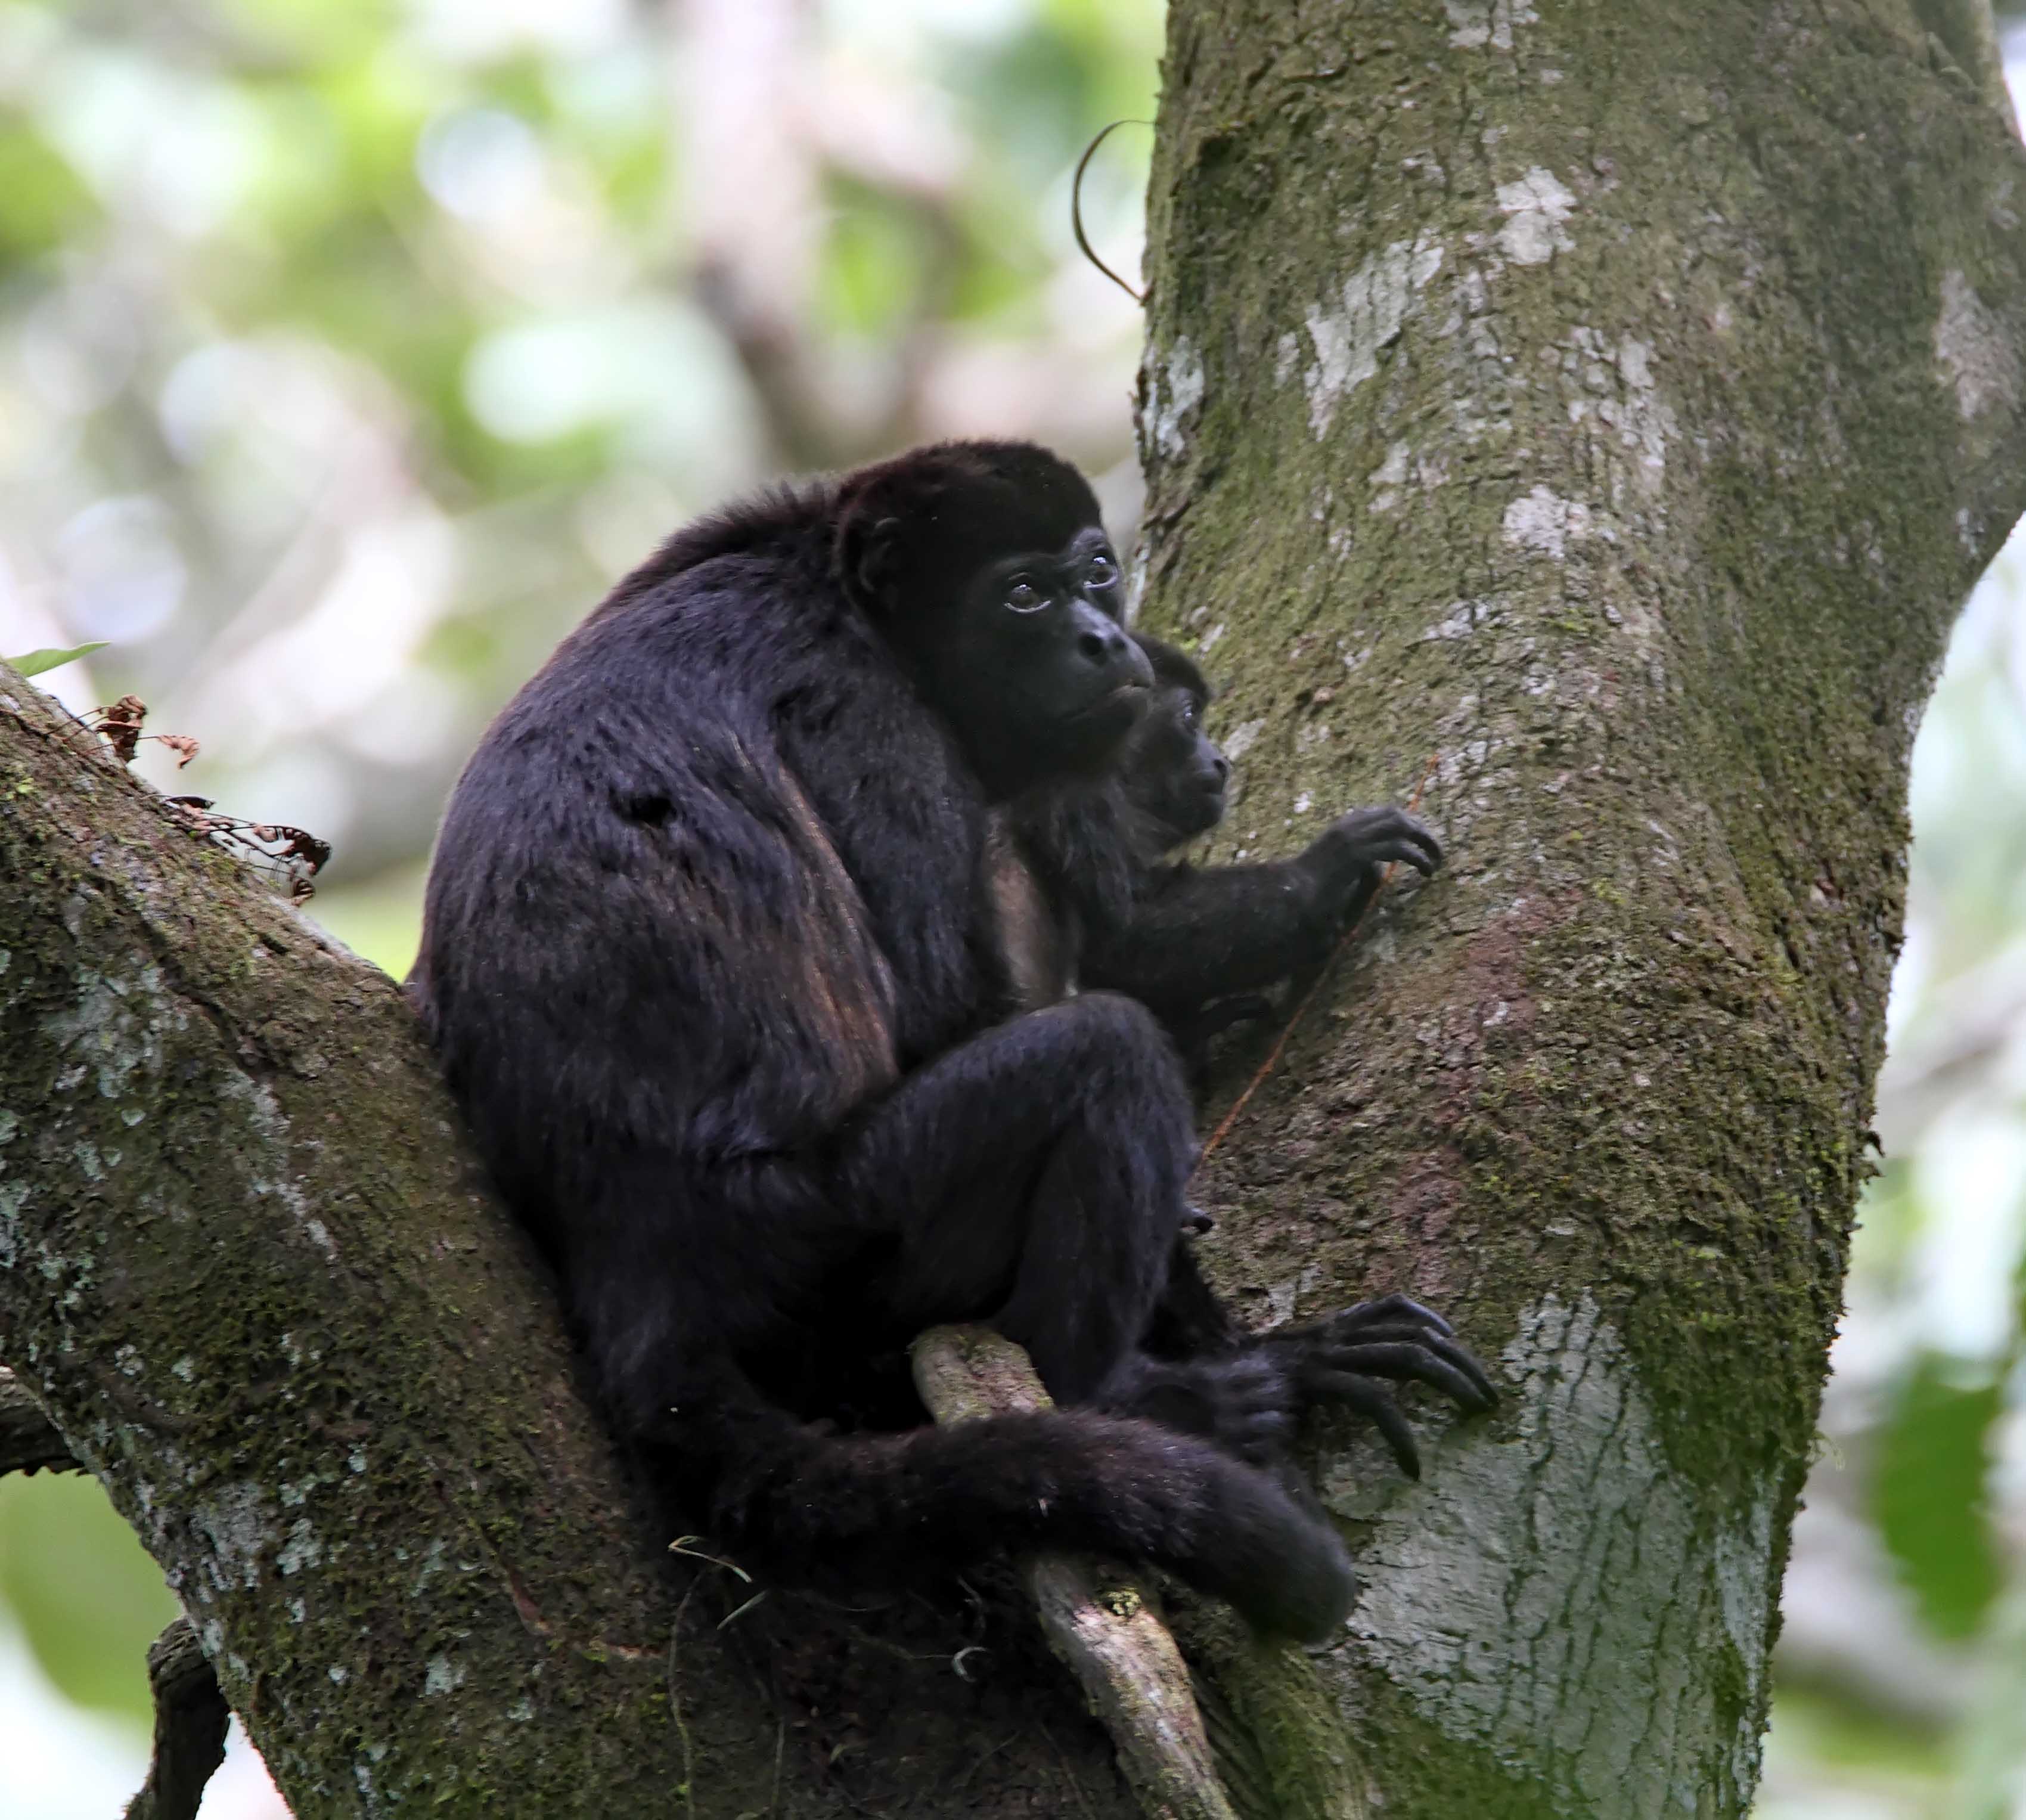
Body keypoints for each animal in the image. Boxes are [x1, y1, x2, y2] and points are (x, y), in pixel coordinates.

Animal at [411, 444, 1491, 1645]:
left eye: (1097, 569)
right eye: (1020, 596)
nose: (1100, 636)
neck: (841, 585)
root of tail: (634, 1253)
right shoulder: (860, 709)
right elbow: (949, 1002)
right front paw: (1314, 884)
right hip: (837, 1238)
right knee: (1101, 1054)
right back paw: (1155, 1390)